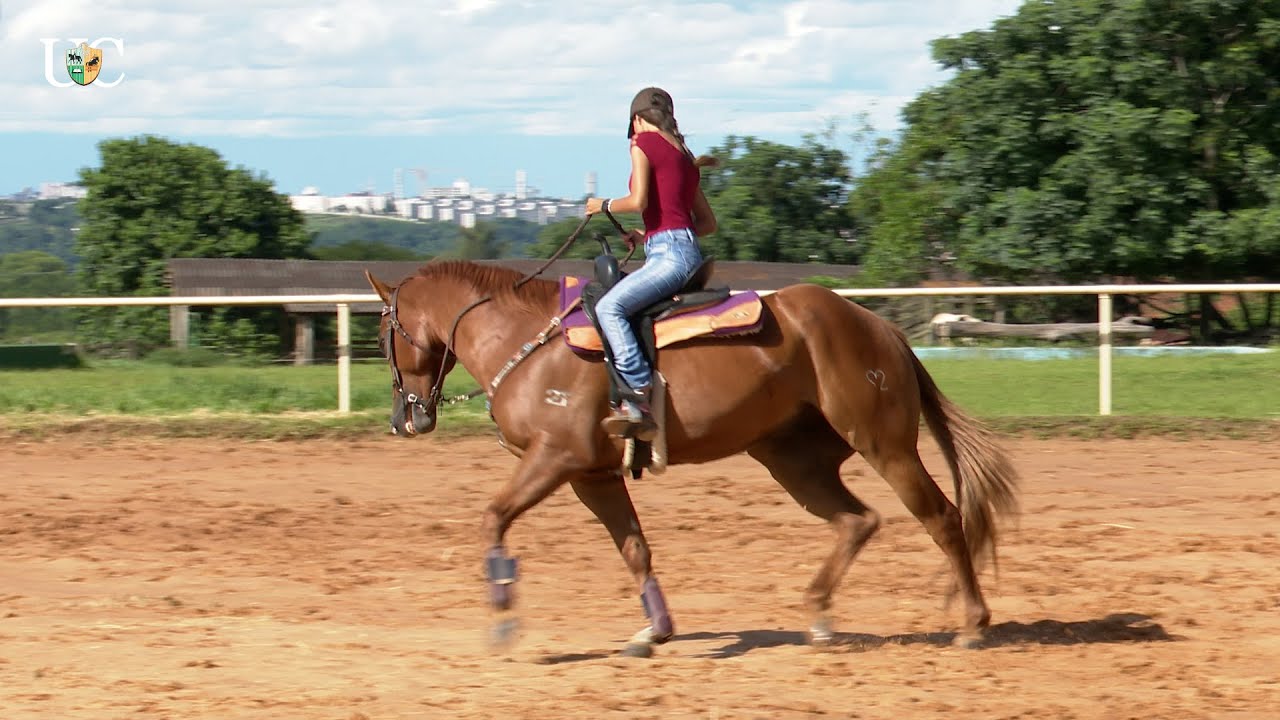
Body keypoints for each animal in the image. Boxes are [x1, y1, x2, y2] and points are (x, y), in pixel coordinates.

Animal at [364, 256, 1020, 656]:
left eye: (382, 333)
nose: (404, 419)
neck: (528, 342)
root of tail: (882, 329)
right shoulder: (593, 475)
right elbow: (635, 549)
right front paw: (654, 631)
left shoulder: (555, 460)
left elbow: (493, 518)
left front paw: (502, 617)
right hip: (791, 458)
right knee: (857, 520)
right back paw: (818, 615)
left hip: (884, 444)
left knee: (942, 517)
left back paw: (971, 625)